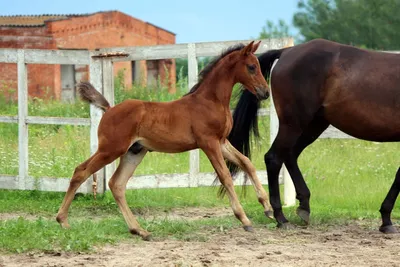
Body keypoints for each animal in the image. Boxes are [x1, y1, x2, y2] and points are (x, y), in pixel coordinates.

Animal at [56, 41, 274, 241]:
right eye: (251, 67)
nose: (265, 92)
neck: (210, 101)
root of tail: (109, 109)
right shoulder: (208, 143)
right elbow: (226, 176)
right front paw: (244, 219)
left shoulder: (221, 142)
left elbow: (247, 163)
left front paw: (267, 208)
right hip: (110, 149)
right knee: (81, 171)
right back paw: (62, 220)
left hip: (134, 152)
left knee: (116, 184)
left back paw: (139, 230)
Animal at [228, 38, 400, 234]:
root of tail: (286, 52)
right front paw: (386, 220)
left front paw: (386, 220)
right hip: (293, 124)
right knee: (274, 158)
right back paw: (281, 217)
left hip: (313, 126)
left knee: (290, 155)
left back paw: (304, 207)